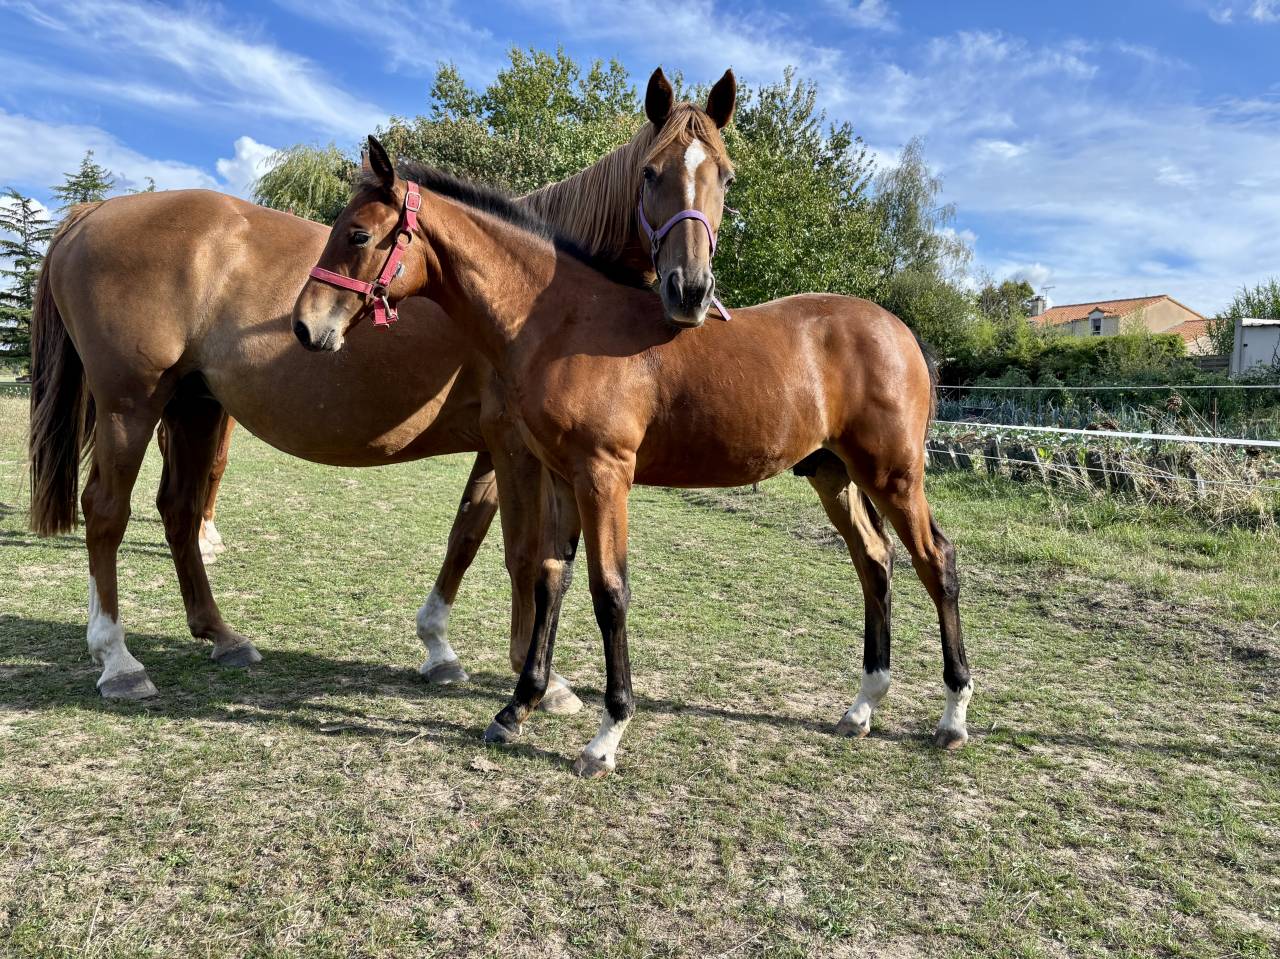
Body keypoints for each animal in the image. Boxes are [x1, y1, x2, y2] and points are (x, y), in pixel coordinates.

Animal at [27, 68, 738, 705]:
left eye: (725, 175)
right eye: (650, 172)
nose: (690, 290)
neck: (534, 291)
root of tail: (92, 213)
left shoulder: (497, 447)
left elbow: (468, 536)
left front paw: (440, 647)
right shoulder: (513, 441)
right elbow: (521, 551)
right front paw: (538, 677)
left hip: (193, 406)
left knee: (177, 510)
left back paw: (222, 636)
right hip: (130, 406)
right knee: (106, 512)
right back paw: (118, 661)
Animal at [293, 136, 974, 778]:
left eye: (358, 234)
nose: (305, 327)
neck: (564, 323)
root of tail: (901, 331)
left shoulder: (604, 475)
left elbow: (609, 591)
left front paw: (606, 735)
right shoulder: (563, 477)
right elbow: (549, 577)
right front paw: (518, 708)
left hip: (893, 474)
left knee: (935, 560)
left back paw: (953, 715)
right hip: (834, 474)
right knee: (875, 562)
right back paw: (862, 707)